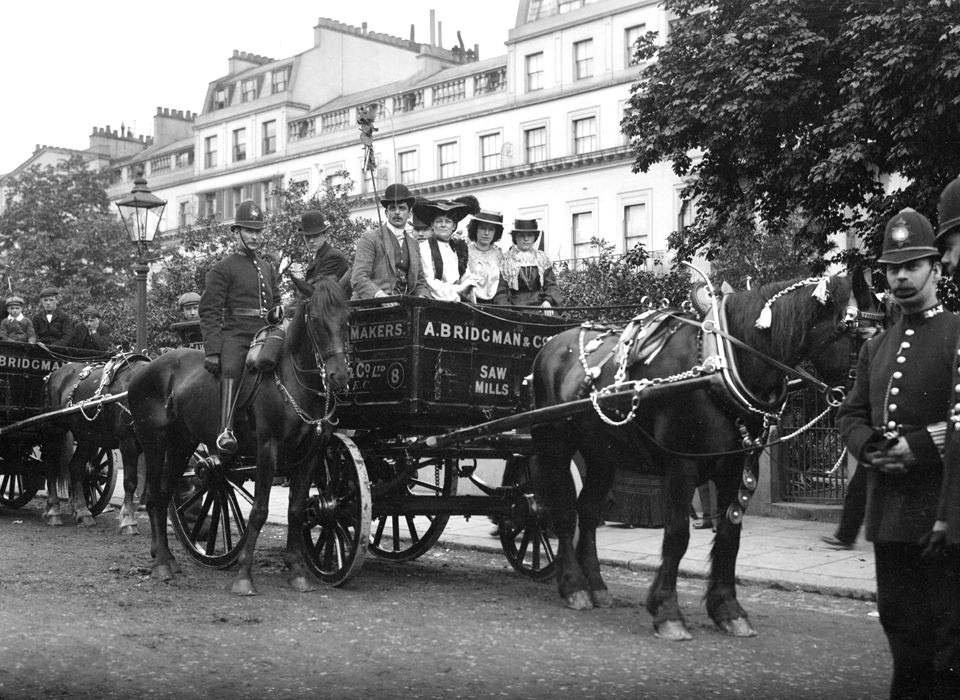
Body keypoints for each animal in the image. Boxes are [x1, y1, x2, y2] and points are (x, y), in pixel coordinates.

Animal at [42, 356, 149, 532]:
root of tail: (53, 374)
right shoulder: (128, 443)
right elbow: (130, 482)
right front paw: (128, 520)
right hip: (55, 431)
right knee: (51, 465)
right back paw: (54, 511)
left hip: (88, 437)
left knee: (75, 467)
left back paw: (83, 512)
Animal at [129, 276, 348, 592]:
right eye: (317, 319)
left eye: (347, 318)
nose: (339, 376)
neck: (294, 382)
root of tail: (143, 369)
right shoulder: (267, 450)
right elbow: (258, 511)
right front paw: (244, 574)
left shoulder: (309, 455)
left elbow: (296, 510)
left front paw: (297, 570)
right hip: (155, 442)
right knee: (153, 496)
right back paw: (160, 565)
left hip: (181, 444)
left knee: (164, 494)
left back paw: (167, 557)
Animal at [528, 274, 872, 640]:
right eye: (857, 333)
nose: (863, 403)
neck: (716, 365)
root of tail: (550, 345)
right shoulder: (682, 465)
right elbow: (678, 535)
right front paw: (667, 611)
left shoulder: (737, 468)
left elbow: (729, 536)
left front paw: (727, 609)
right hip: (556, 445)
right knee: (564, 511)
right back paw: (574, 586)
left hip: (602, 454)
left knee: (589, 511)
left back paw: (595, 585)